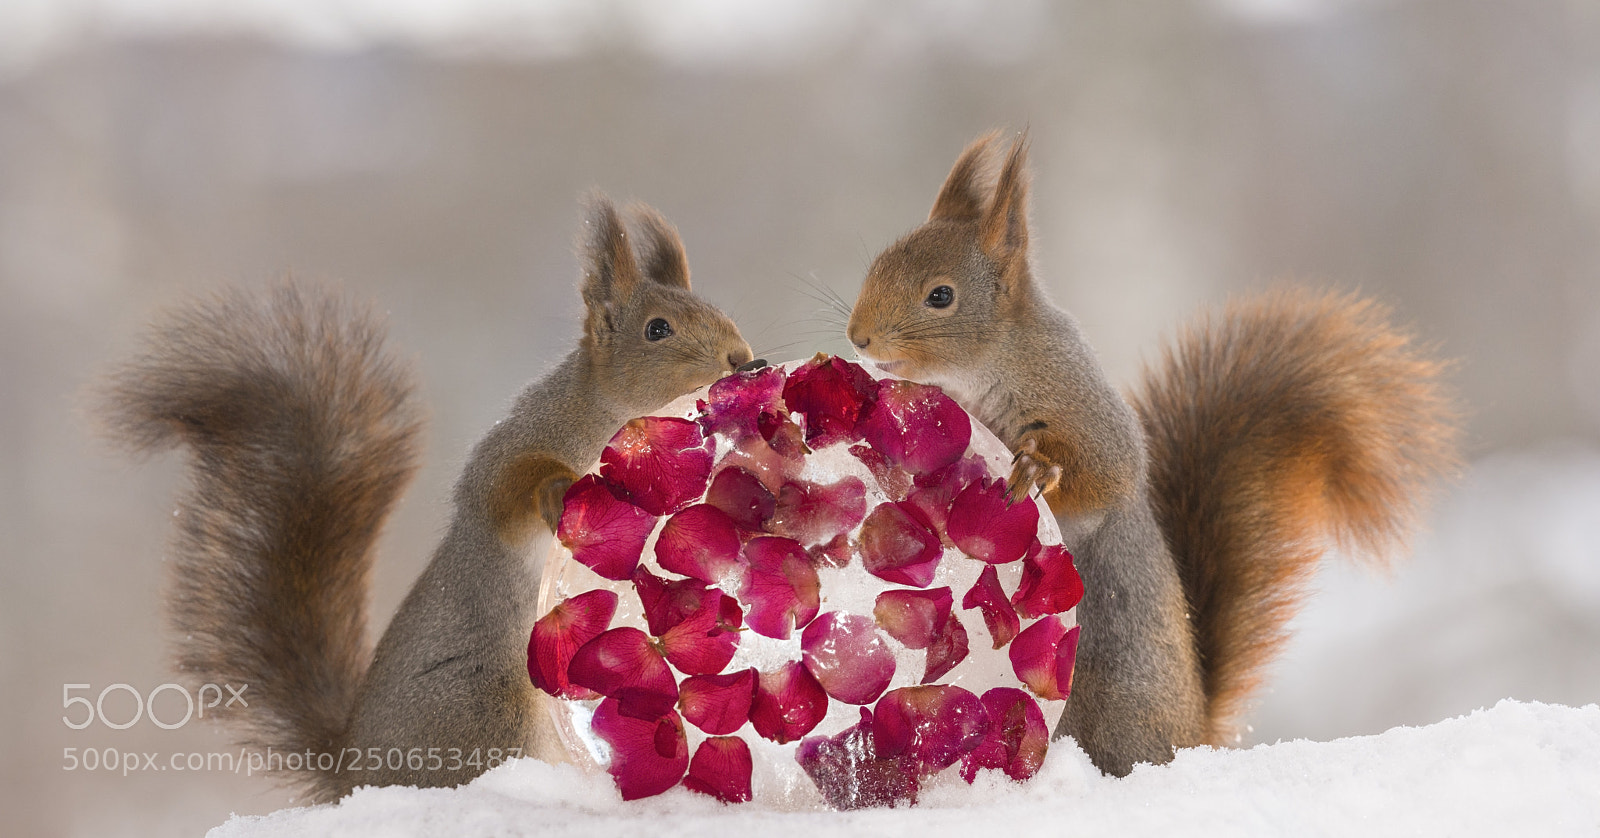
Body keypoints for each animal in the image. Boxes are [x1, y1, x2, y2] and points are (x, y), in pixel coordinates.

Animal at [100, 196, 753, 803]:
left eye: (723, 313)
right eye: (657, 329)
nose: (743, 359)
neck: (606, 412)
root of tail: (350, 771)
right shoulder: (513, 452)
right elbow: (508, 489)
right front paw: (559, 490)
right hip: (484, 707)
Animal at [846, 131, 1461, 777]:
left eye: (941, 296)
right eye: (876, 265)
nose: (858, 337)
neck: (988, 367)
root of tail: (1196, 735)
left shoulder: (1084, 409)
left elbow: (1102, 475)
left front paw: (1037, 467)